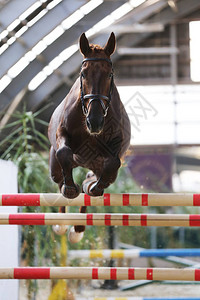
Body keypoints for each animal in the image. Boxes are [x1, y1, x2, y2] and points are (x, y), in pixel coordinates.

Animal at [47, 32, 130, 244]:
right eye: (83, 74)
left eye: (110, 74)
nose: (95, 122)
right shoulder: (62, 134)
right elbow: (64, 152)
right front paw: (70, 188)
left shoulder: (115, 145)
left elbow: (112, 164)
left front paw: (93, 187)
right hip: (54, 164)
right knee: (58, 177)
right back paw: (62, 223)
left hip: (96, 166)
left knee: (95, 180)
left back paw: (78, 226)